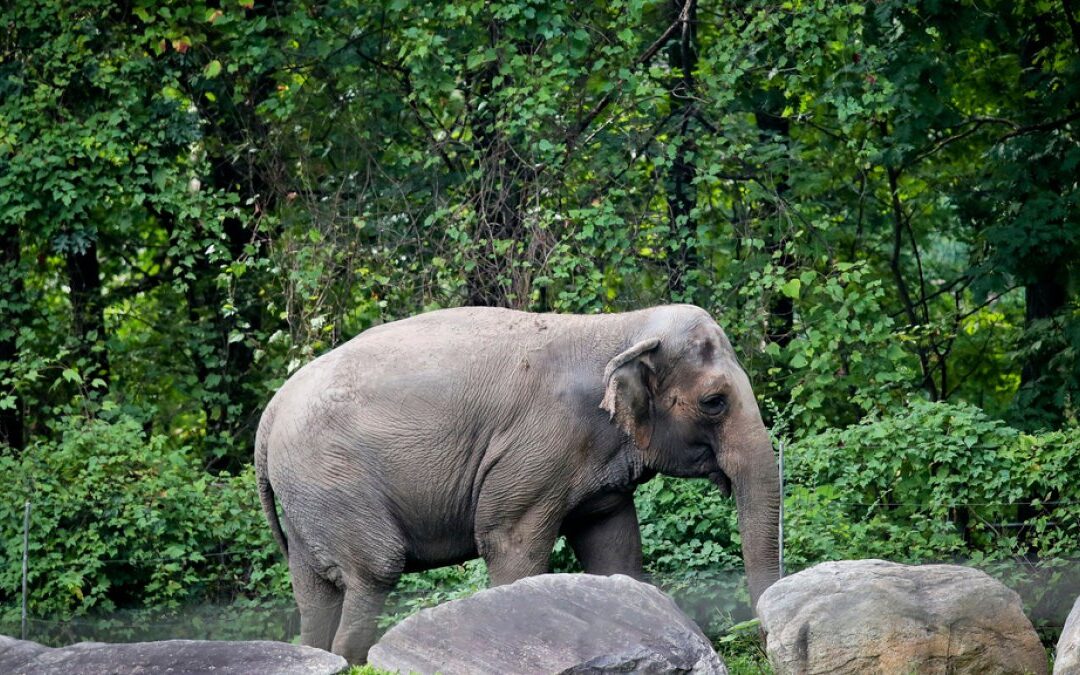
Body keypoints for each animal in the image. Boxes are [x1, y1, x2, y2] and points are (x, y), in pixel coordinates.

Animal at [254, 304, 780, 664]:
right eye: (714, 402)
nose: (761, 640)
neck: (620, 327)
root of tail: (270, 413)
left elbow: (615, 549)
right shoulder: (537, 449)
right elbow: (510, 544)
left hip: (306, 496)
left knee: (314, 593)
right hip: (333, 479)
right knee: (374, 571)